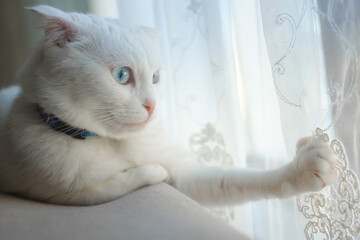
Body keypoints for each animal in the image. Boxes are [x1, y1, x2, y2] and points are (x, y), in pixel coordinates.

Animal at [0, 4, 338, 205]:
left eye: (155, 77)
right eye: (122, 76)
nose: (152, 105)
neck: (112, 144)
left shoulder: (186, 177)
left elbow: (236, 181)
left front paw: (302, 168)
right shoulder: (65, 192)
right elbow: (124, 180)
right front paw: (154, 172)